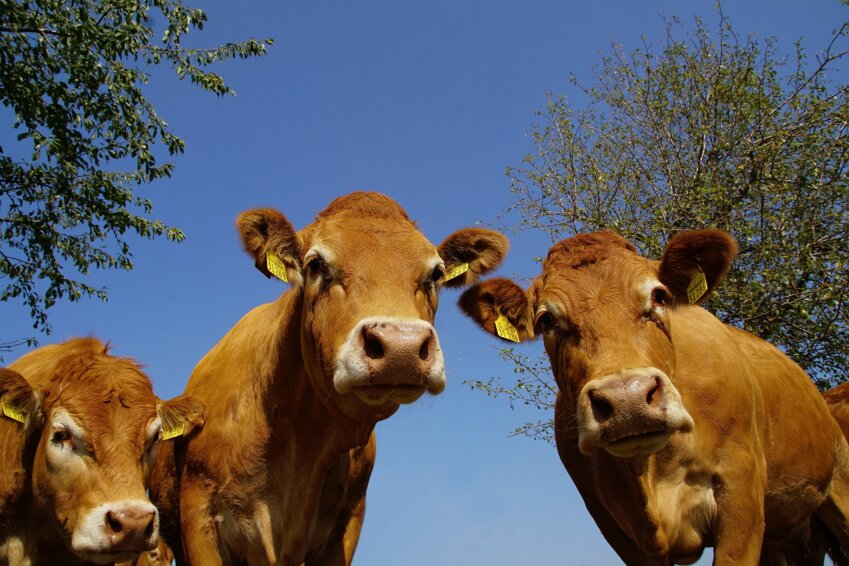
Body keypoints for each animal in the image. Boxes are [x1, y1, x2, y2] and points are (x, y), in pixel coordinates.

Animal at [458, 229, 849, 564]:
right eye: (546, 321)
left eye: (658, 296)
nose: (627, 400)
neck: (655, 471)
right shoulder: (620, 531)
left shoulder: (742, 501)